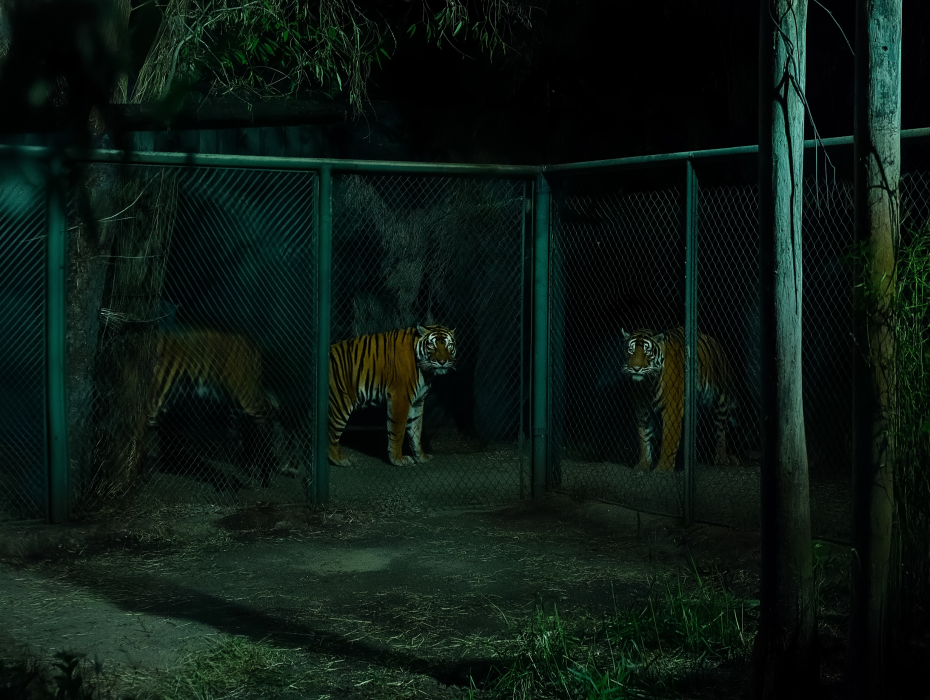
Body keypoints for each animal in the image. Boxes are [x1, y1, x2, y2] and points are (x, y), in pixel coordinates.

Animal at [328, 324, 456, 467]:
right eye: (432, 345)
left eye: (449, 345)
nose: (442, 362)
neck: (426, 371)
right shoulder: (401, 398)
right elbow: (398, 430)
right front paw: (398, 459)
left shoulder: (418, 401)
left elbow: (416, 430)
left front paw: (421, 456)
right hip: (340, 403)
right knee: (331, 435)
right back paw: (340, 460)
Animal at [620, 327, 737, 472]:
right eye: (631, 350)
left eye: (647, 351)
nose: (636, 368)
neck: (648, 383)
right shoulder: (642, 410)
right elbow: (644, 438)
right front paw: (643, 465)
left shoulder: (672, 409)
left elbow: (668, 440)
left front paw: (663, 468)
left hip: (721, 399)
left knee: (721, 431)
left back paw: (721, 458)